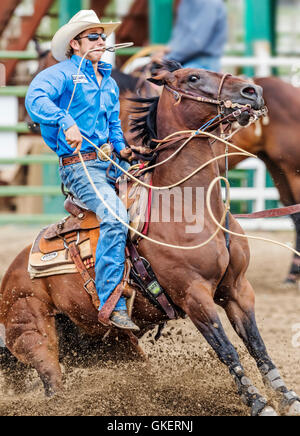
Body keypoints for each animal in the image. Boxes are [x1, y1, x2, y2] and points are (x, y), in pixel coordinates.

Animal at [2, 61, 300, 416]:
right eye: (193, 78)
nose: (252, 91)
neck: (192, 206)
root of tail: (12, 274)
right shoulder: (194, 296)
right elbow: (227, 350)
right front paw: (258, 403)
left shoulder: (238, 290)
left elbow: (257, 346)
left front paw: (287, 398)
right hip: (35, 335)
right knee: (53, 387)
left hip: (111, 344)